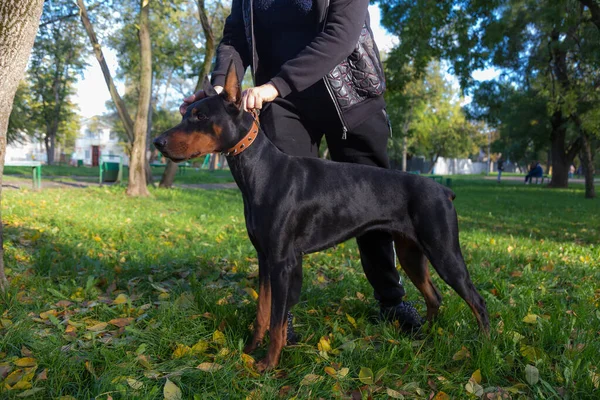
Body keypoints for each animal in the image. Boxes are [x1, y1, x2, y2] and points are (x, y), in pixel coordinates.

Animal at [152, 62, 490, 372]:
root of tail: (444, 190)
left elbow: (277, 320)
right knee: (435, 297)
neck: (261, 171)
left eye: (201, 116)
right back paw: (426, 338)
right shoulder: (264, 258)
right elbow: (263, 312)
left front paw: (268, 364)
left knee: (477, 301)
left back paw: (483, 348)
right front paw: (248, 351)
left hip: (444, 252)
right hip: (411, 254)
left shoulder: (282, 262)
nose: (157, 142)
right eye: (186, 113)